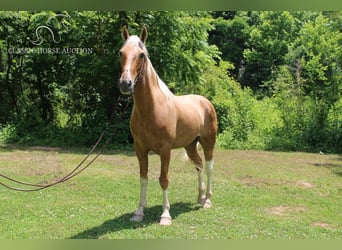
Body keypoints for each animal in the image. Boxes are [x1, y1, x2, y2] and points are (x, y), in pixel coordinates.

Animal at [119, 26, 218, 226]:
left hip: (208, 143)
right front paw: (139, 212)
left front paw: (165, 215)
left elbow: (163, 179)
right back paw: (200, 197)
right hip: (190, 146)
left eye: (142, 55)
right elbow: (143, 178)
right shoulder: (140, 149)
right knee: (199, 165)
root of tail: (205, 102)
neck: (152, 108)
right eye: (121, 53)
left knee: (209, 167)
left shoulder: (165, 150)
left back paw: (208, 201)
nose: (125, 83)